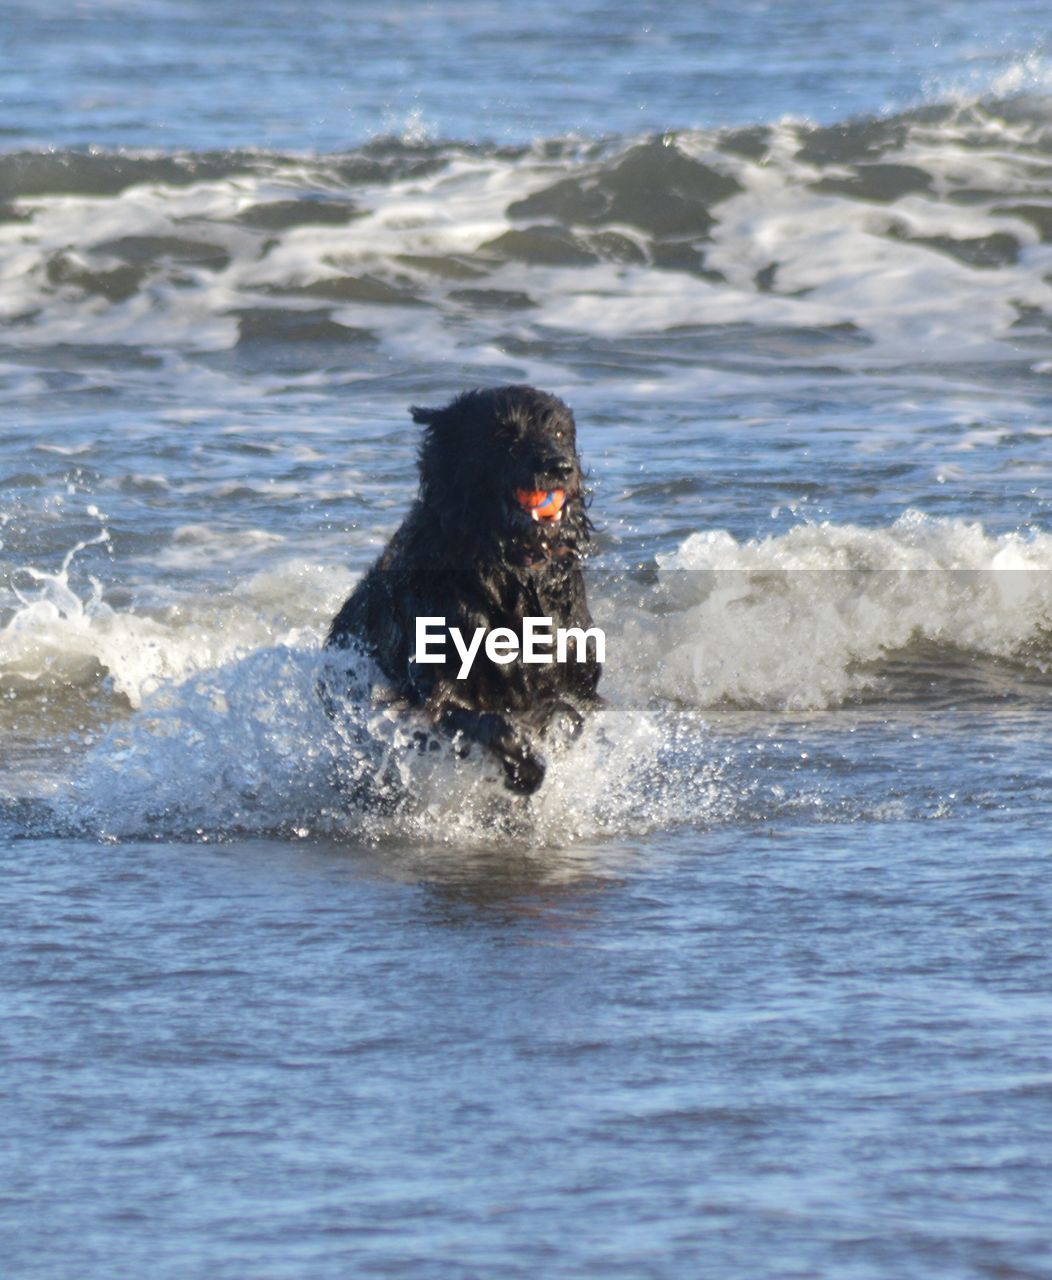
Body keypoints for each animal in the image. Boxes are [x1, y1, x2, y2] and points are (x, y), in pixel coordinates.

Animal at [325, 384, 601, 793]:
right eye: (505, 435)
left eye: (559, 433)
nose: (561, 468)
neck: (509, 572)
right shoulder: (438, 685)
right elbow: (485, 721)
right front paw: (524, 769)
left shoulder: (578, 675)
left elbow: (572, 714)